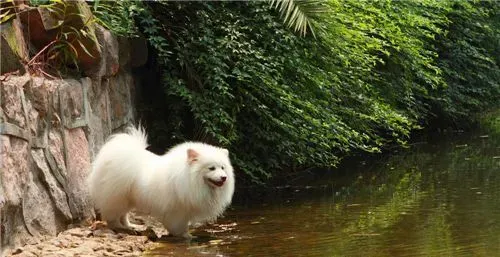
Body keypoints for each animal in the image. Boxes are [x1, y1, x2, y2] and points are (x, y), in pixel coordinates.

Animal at [87, 125, 235, 237]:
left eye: (223, 168)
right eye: (211, 168)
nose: (224, 177)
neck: (189, 179)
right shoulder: (178, 211)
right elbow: (179, 227)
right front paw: (187, 236)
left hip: (127, 199)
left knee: (123, 215)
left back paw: (130, 226)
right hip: (117, 197)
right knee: (112, 217)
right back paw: (121, 227)